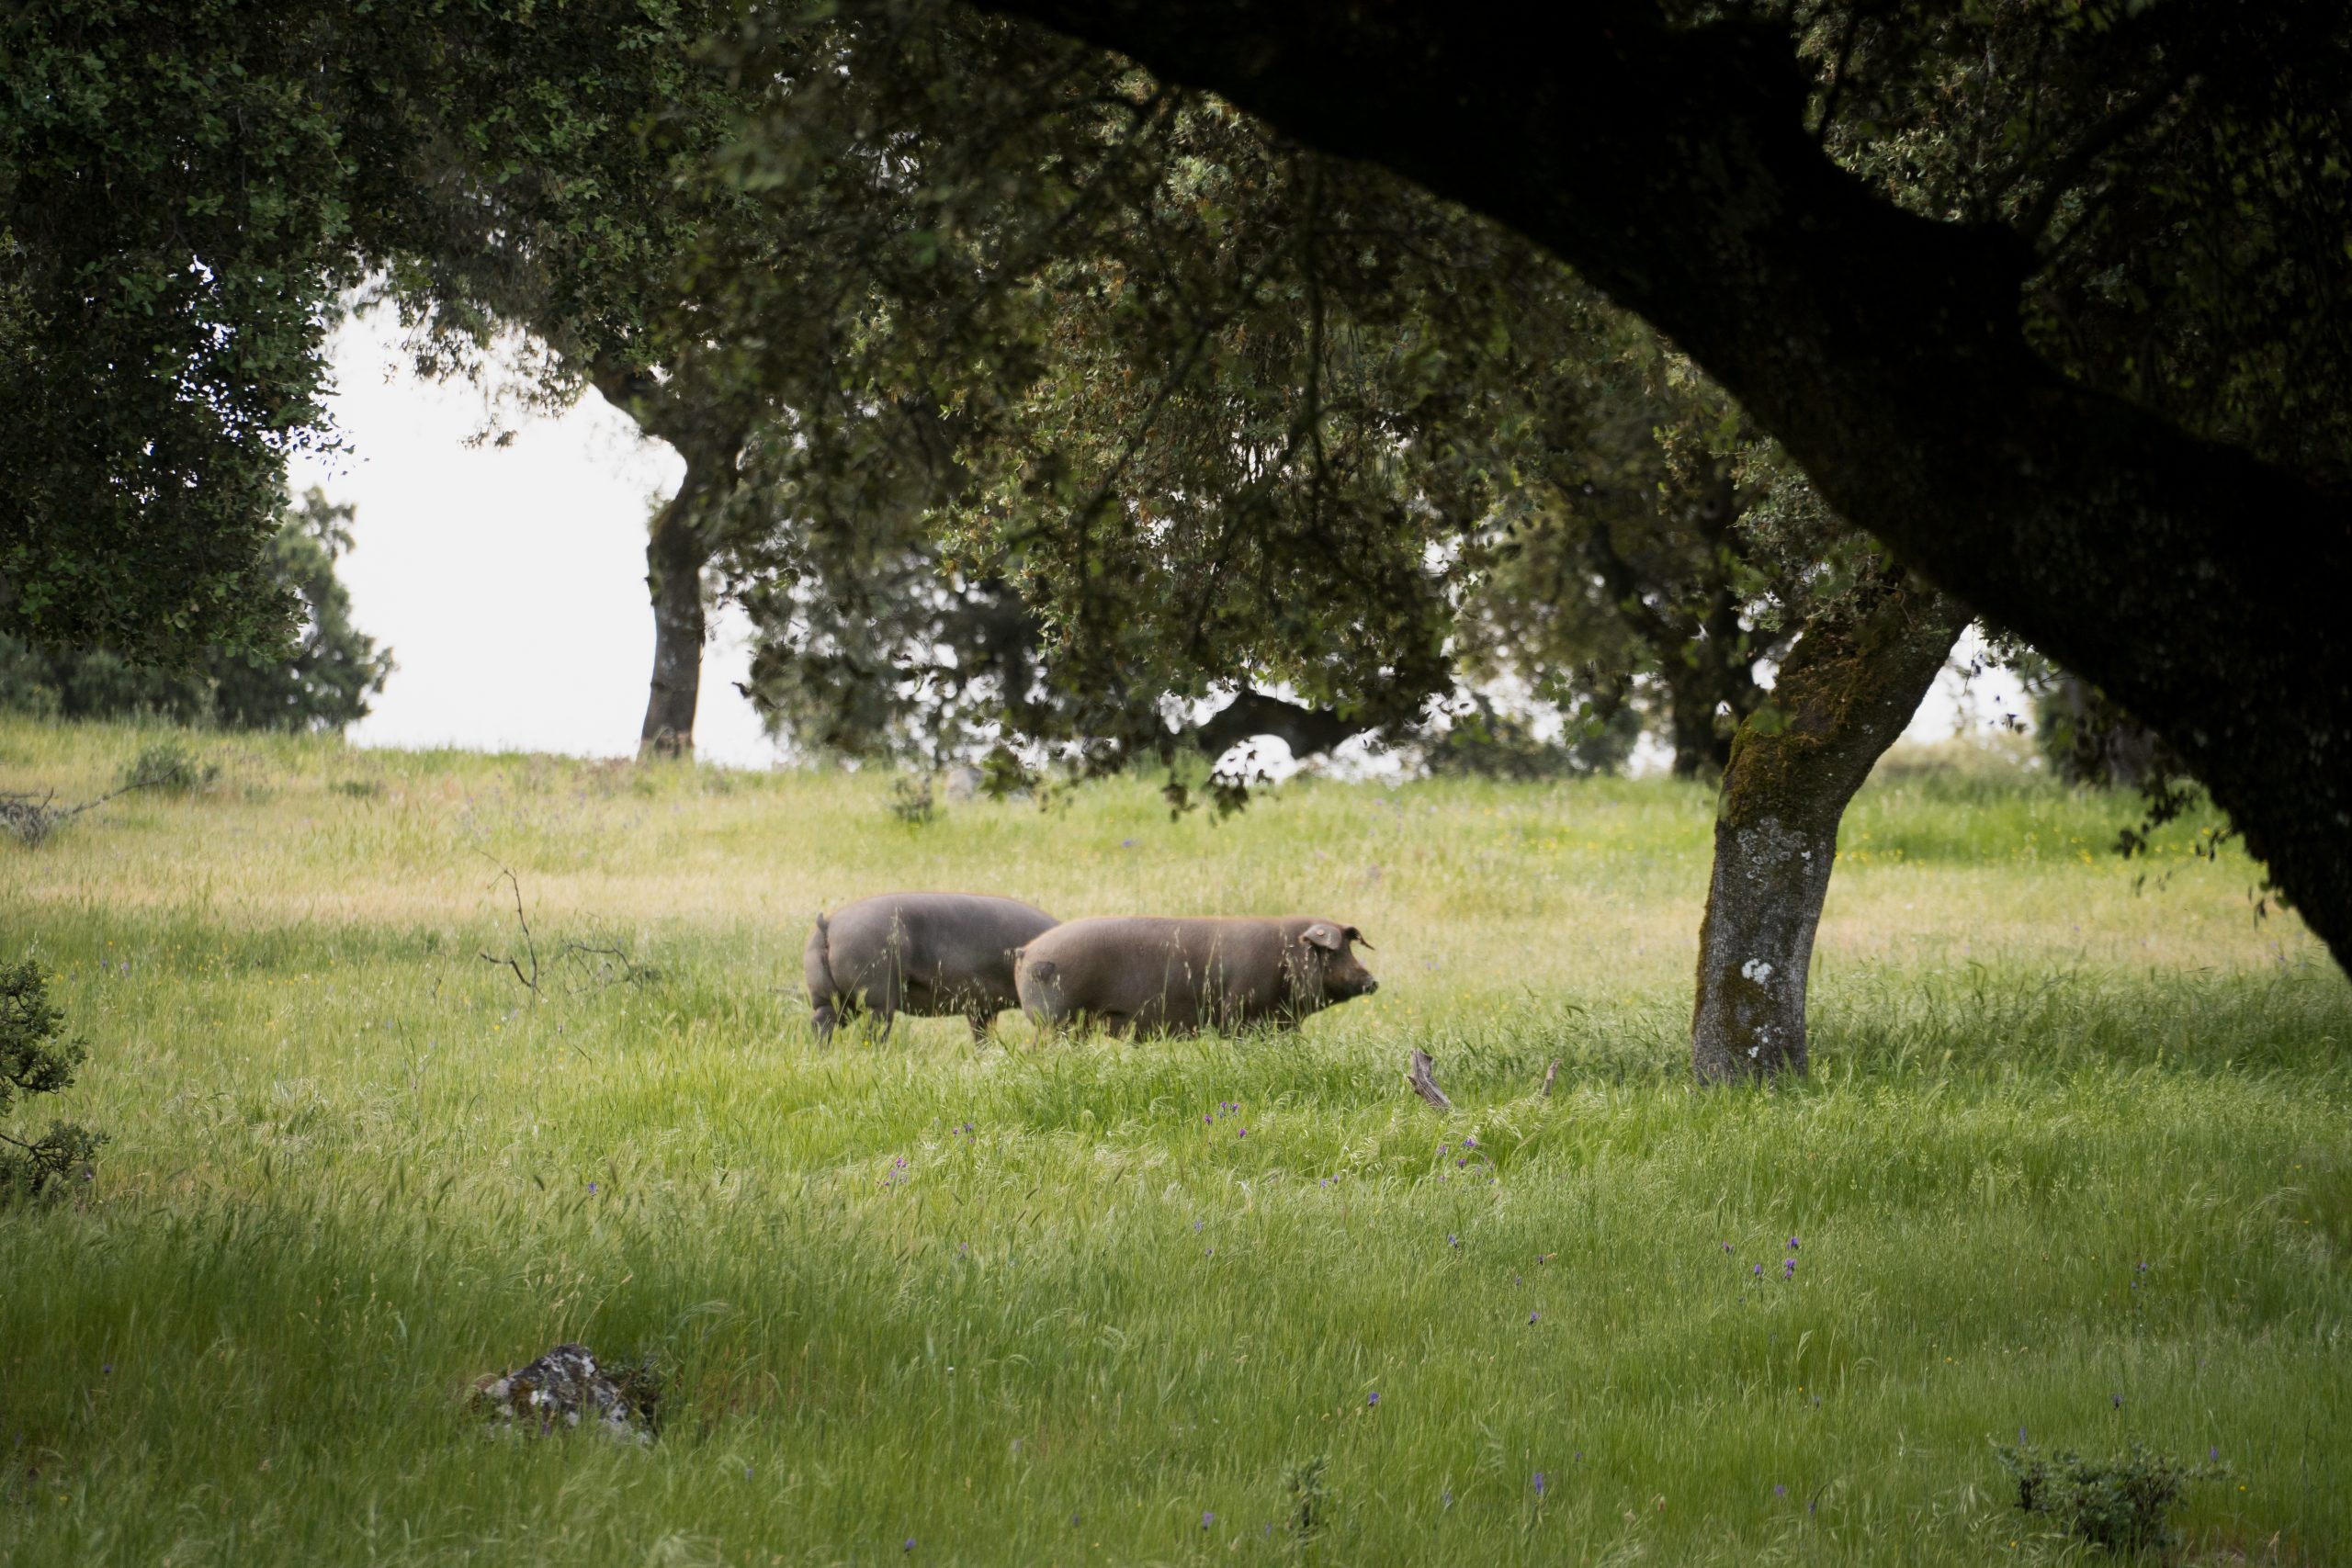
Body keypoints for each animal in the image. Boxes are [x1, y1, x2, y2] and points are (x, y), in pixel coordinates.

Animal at [805, 892, 1058, 1044]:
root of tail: (828, 923)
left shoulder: (981, 1007)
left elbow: (982, 1038)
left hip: (832, 1000)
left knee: (821, 1023)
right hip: (876, 1000)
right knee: (873, 1033)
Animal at [1013, 916, 1377, 1037]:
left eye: (1350, 947)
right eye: (1334, 951)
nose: (1371, 980)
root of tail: (1027, 951)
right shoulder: (1240, 1014)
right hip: (1056, 1020)